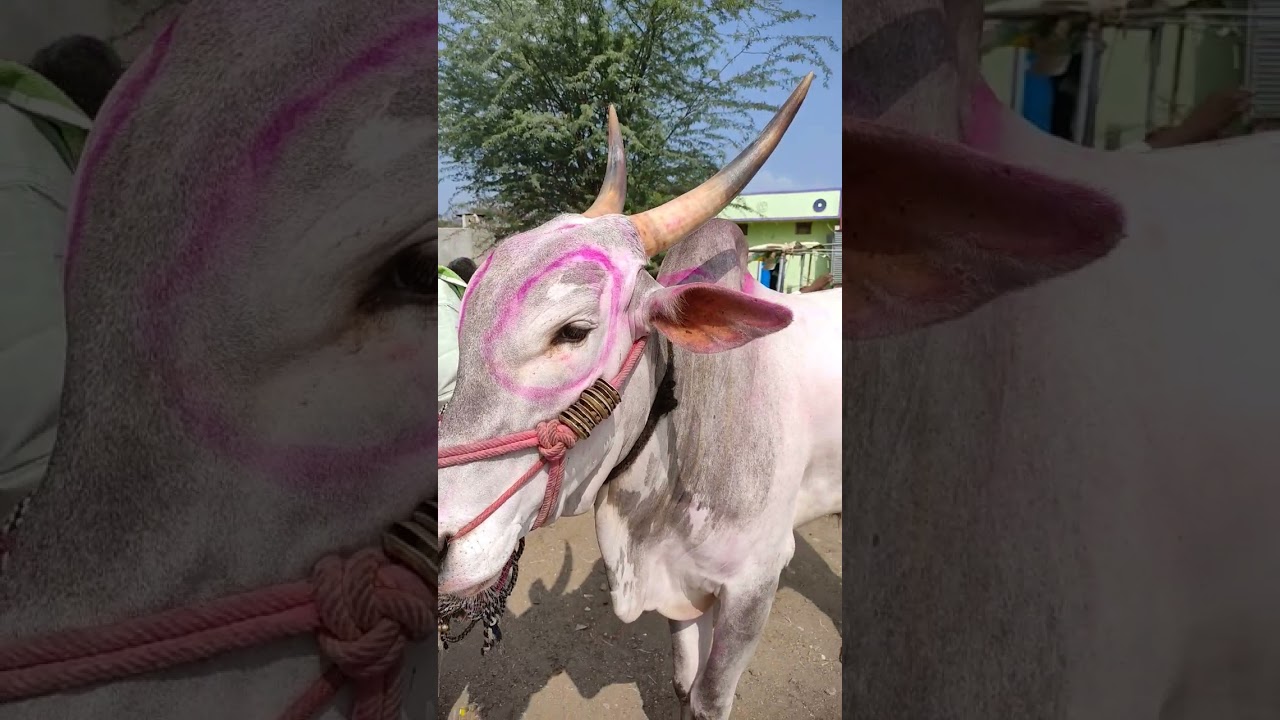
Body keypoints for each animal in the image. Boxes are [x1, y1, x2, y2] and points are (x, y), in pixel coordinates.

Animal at [437, 76, 843, 719]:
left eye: (573, 331)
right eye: (464, 320)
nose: (437, 544)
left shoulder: (755, 584)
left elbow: (707, 699)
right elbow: (681, 682)